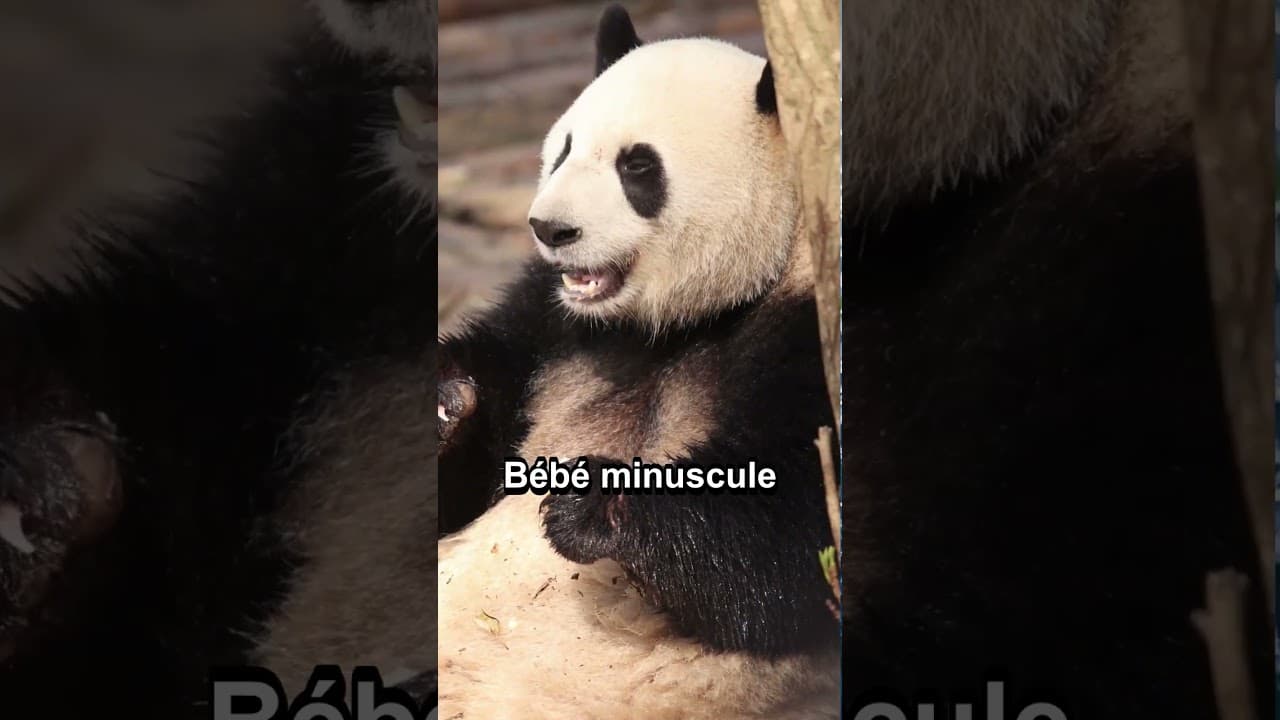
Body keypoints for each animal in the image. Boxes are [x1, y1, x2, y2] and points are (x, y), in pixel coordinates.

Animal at [434, 6, 840, 718]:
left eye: (639, 168)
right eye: (564, 149)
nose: (551, 229)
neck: (673, 324)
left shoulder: (807, 329)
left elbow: (794, 535)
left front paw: (594, 502)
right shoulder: (547, 325)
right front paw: (447, 405)